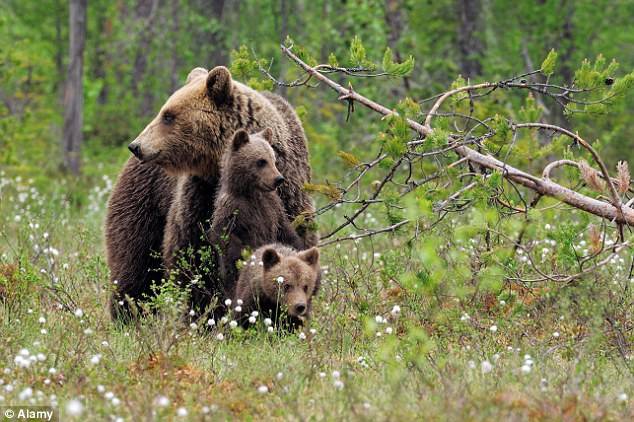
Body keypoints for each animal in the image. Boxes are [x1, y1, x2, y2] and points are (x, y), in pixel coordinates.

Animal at [207, 129, 304, 296]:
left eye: (273, 159)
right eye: (261, 161)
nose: (278, 179)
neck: (252, 193)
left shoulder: (274, 209)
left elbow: (286, 233)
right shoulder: (233, 209)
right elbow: (225, 238)